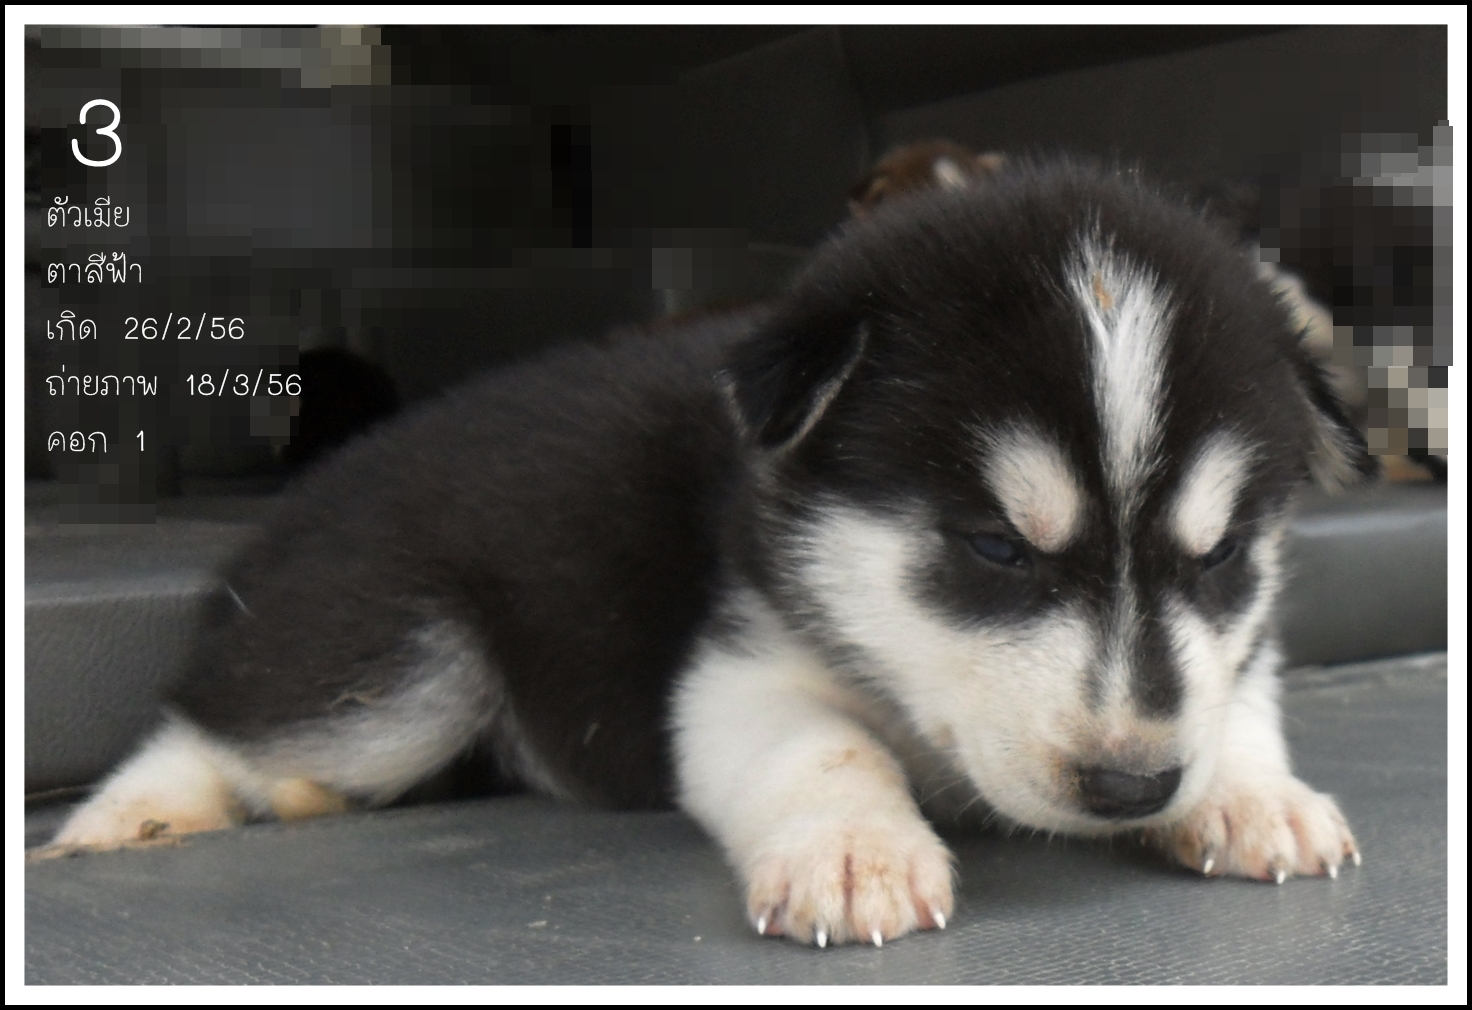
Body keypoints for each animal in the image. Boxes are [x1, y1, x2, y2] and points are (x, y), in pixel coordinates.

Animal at [52, 159, 1369, 948]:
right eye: (994, 546)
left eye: (1218, 555)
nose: (1132, 784)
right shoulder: (736, 668)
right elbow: (826, 746)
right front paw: (854, 849)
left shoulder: (1231, 639)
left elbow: (1234, 692)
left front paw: (1251, 792)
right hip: (404, 660)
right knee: (224, 711)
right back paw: (138, 813)